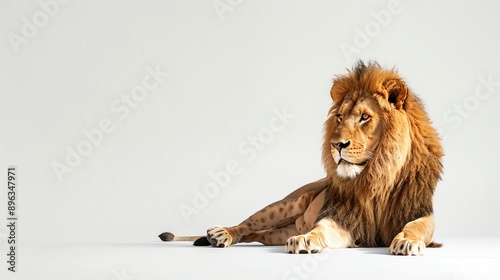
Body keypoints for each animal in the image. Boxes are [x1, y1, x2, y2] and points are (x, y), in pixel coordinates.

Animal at [159, 61, 442, 256]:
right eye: (339, 117)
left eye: (364, 117)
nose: (336, 145)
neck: (377, 177)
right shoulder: (343, 218)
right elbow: (321, 228)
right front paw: (307, 239)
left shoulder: (419, 210)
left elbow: (417, 226)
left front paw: (407, 240)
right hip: (284, 205)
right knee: (246, 225)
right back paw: (222, 234)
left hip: (277, 232)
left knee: (257, 234)